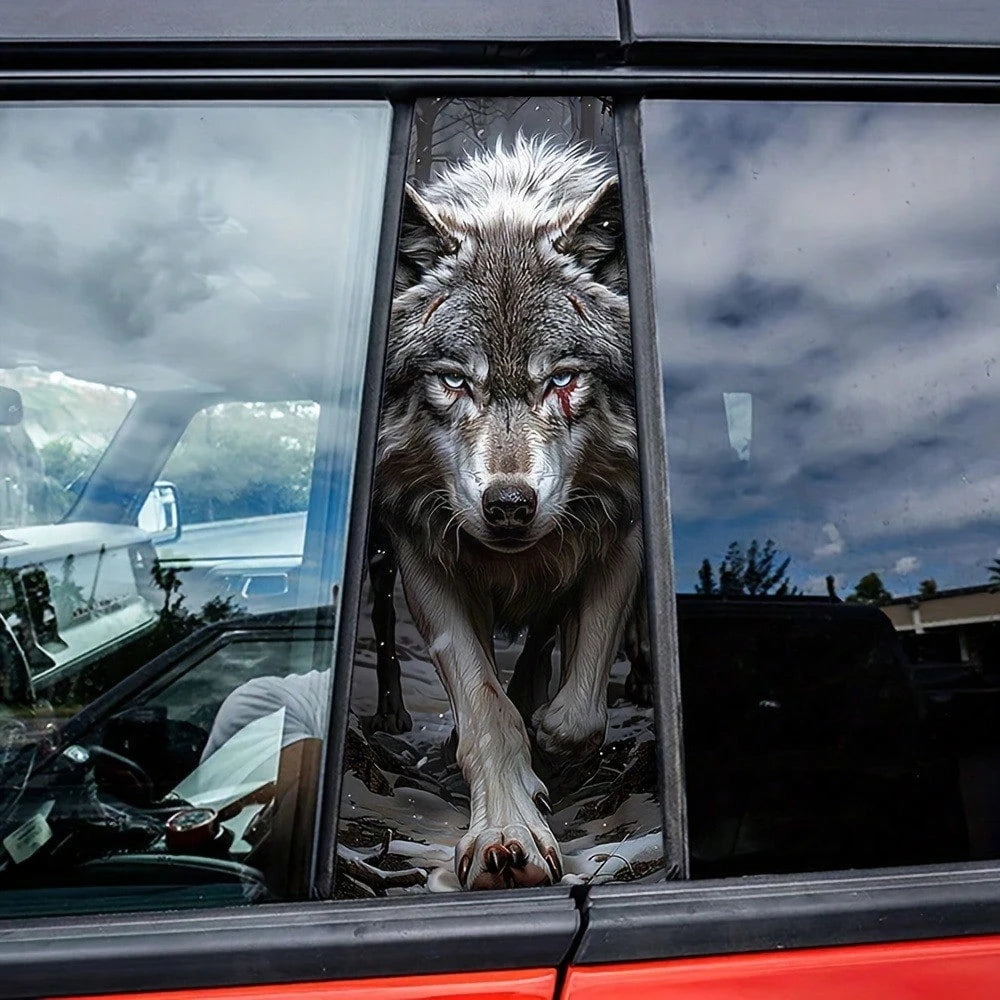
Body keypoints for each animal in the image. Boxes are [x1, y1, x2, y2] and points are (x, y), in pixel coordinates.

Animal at [369, 137, 643, 891]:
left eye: (562, 379)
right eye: (455, 379)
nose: (510, 505)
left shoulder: (624, 530)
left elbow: (578, 706)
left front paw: (551, 730)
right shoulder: (423, 558)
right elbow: (485, 709)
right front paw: (507, 834)